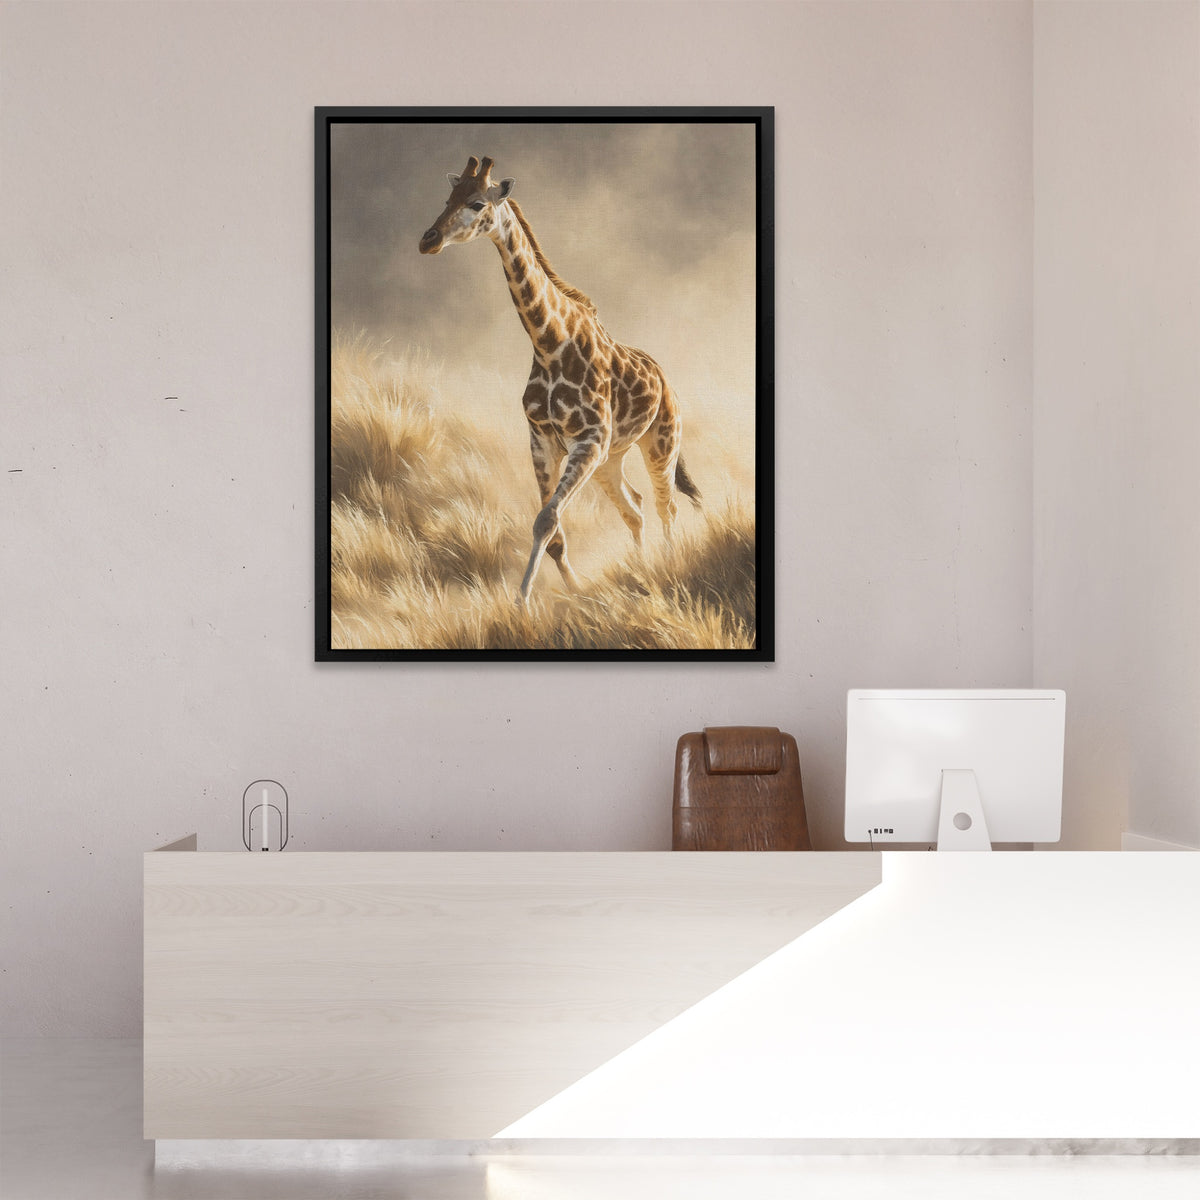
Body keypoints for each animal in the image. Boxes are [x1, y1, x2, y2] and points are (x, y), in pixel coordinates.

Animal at [418, 155, 702, 603]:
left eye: (478, 203)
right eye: (448, 198)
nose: (428, 240)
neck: (549, 344)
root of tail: (664, 377)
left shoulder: (588, 441)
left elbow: (546, 521)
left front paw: (521, 602)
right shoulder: (544, 440)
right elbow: (552, 533)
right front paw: (572, 593)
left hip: (660, 443)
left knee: (665, 505)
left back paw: (667, 565)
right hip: (611, 459)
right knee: (635, 508)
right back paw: (639, 568)